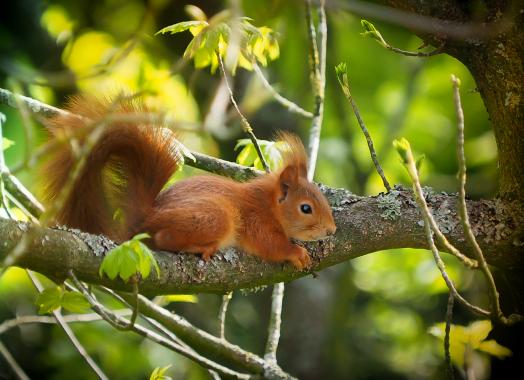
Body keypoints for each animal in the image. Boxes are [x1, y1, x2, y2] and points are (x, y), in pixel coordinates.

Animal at [45, 96, 338, 268]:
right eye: (306, 208)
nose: (331, 230)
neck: (269, 204)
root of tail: (145, 219)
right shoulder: (258, 222)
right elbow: (271, 246)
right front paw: (295, 252)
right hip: (215, 216)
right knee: (163, 238)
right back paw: (202, 247)